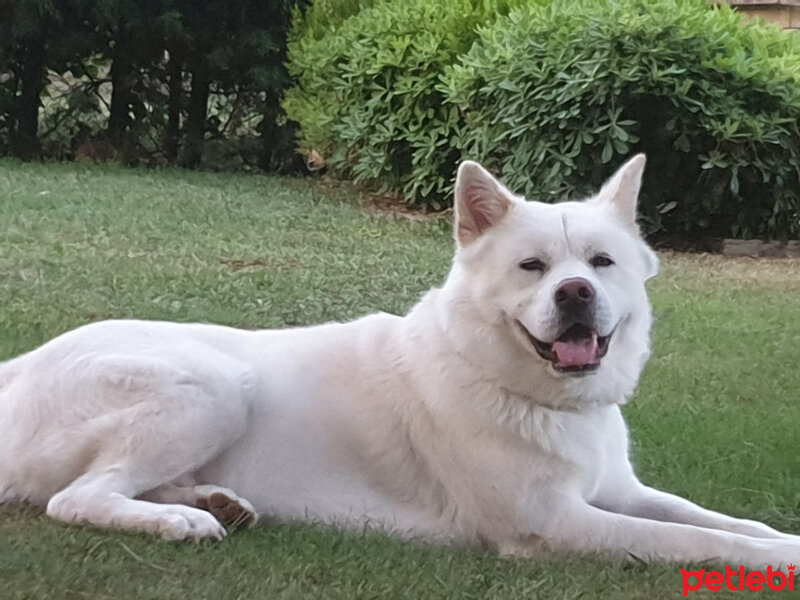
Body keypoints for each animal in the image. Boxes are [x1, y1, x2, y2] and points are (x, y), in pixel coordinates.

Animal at [1, 157, 800, 568]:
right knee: (76, 497)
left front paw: (783, 538)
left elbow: (716, 520)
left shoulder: (618, 493)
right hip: (215, 388)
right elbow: (693, 540)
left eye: (602, 263)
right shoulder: (553, 526)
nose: (576, 293)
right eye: (533, 267)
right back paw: (181, 521)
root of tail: (21, 363)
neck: (521, 387)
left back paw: (213, 501)